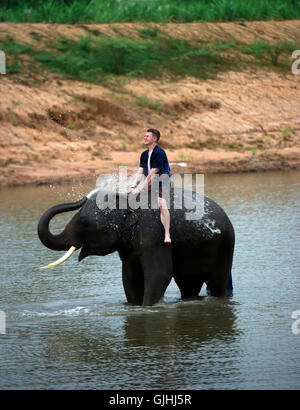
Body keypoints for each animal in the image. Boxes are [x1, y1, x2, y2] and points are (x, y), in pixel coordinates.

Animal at [37, 187, 234, 306]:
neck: (128, 202)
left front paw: (147, 308)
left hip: (225, 246)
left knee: (218, 282)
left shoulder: (154, 234)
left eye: (84, 222)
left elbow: (160, 274)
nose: (83, 198)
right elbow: (129, 278)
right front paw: (133, 305)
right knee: (188, 283)